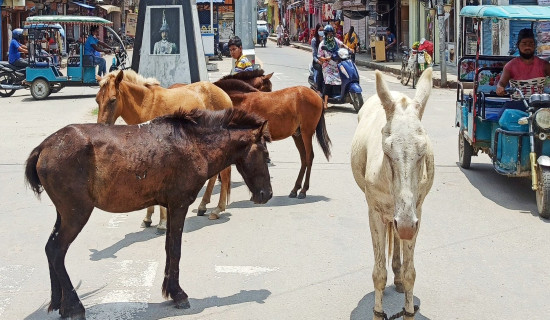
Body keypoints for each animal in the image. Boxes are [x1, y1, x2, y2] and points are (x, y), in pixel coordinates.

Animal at [25, 108, 274, 320]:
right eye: (265, 153)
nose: (267, 194)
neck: (194, 143)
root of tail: (45, 146)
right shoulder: (179, 205)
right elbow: (175, 249)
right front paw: (178, 294)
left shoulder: (171, 207)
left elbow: (168, 247)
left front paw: (170, 291)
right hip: (76, 214)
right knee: (57, 251)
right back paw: (74, 307)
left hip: (64, 214)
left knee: (50, 249)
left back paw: (59, 303)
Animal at [97, 69, 235, 225]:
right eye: (97, 100)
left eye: (113, 100)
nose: (100, 127)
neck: (145, 106)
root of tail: (224, 94)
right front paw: (148, 217)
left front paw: (162, 221)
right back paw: (203, 205)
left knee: (225, 172)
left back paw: (218, 209)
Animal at [354, 69, 436, 318]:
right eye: (387, 151)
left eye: (422, 151)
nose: (407, 226)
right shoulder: (374, 213)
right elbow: (378, 274)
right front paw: (377, 313)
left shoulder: (417, 213)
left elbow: (411, 274)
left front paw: (408, 310)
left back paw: (398, 275)